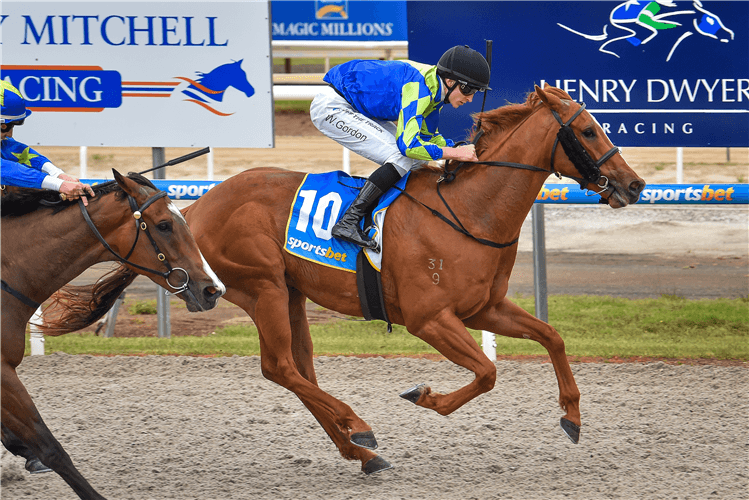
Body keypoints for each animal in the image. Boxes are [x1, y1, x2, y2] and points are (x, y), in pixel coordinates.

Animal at [49, 86, 645, 475]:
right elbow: (485, 373)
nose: (634, 184)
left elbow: (552, 337)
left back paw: (361, 451)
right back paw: (358, 427)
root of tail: (193, 211)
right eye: (588, 130)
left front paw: (572, 416)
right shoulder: (430, 319)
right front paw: (424, 396)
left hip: (289, 292)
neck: (470, 212)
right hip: (262, 286)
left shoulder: (483, 308)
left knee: (299, 368)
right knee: (279, 367)